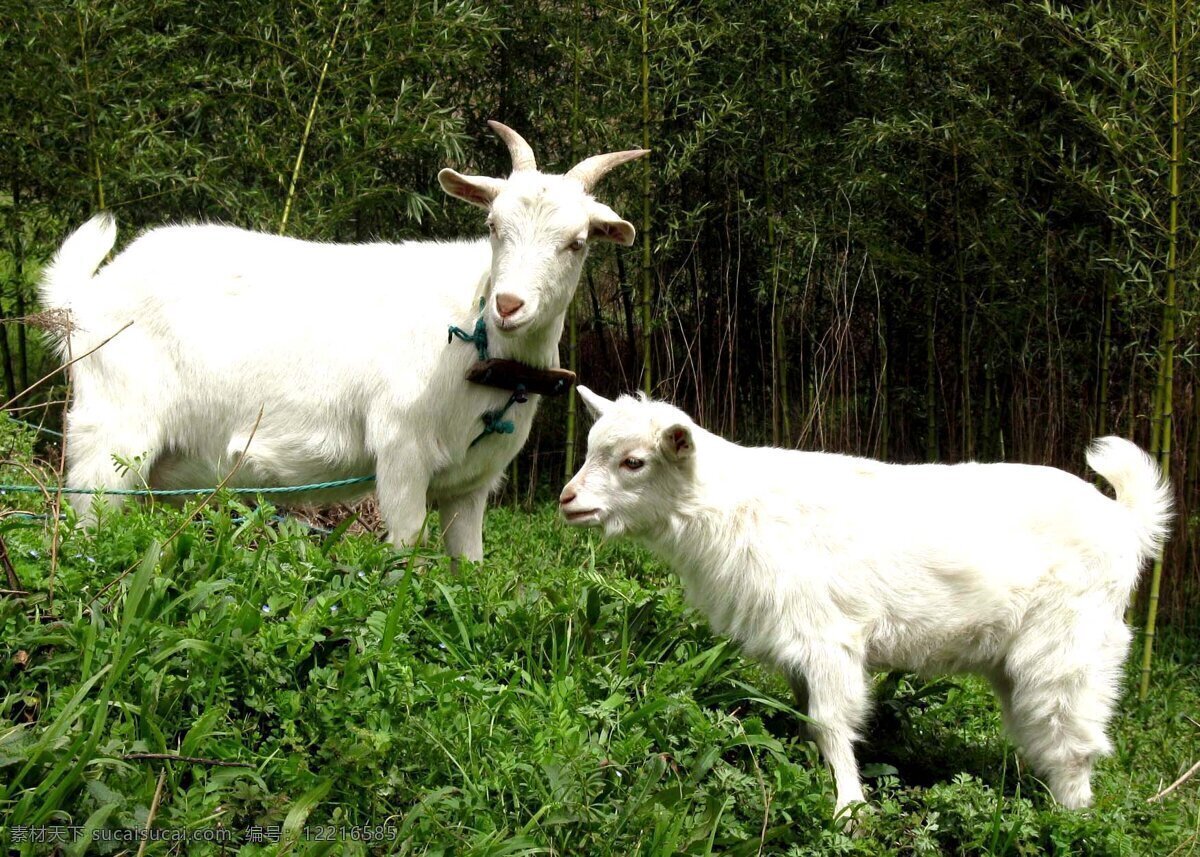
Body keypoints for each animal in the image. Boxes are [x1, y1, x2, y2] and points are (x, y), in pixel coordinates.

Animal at [37, 121, 643, 561]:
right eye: (493, 226)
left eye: (577, 241)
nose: (510, 305)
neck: (475, 340)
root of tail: (85, 298)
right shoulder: (400, 450)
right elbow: (404, 548)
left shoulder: (471, 484)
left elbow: (468, 565)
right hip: (110, 440)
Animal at [561, 386, 1171, 816]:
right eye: (590, 449)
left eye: (634, 462)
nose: (567, 500)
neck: (736, 509)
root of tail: (1127, 521)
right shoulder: (799, 651)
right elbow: (808, 721)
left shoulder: (829, 639)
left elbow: (832, 723)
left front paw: (847, 809)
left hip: (1073, 647)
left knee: (1074, 738)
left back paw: (1071, 819)